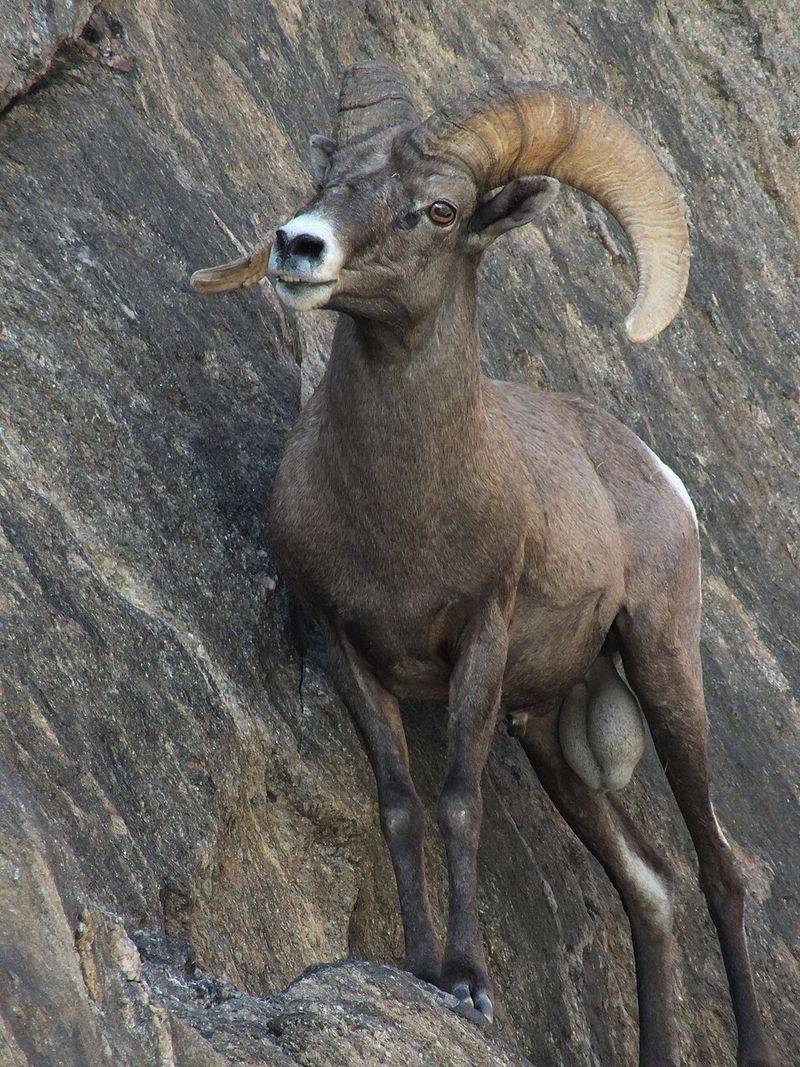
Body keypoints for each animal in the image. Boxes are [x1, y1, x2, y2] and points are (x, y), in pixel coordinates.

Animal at [191, 63, 775, 1067]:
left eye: (438, 209)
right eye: (327, 180)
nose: (297, 246)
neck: (402, 513)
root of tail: (655, 474)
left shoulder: (480, 639)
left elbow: (458, 799)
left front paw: (467, 981)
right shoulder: (345, 647)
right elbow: (399, 801)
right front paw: (422, 967)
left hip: (664, 669)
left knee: (719, 871)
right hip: (547, 733)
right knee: (650, 887)